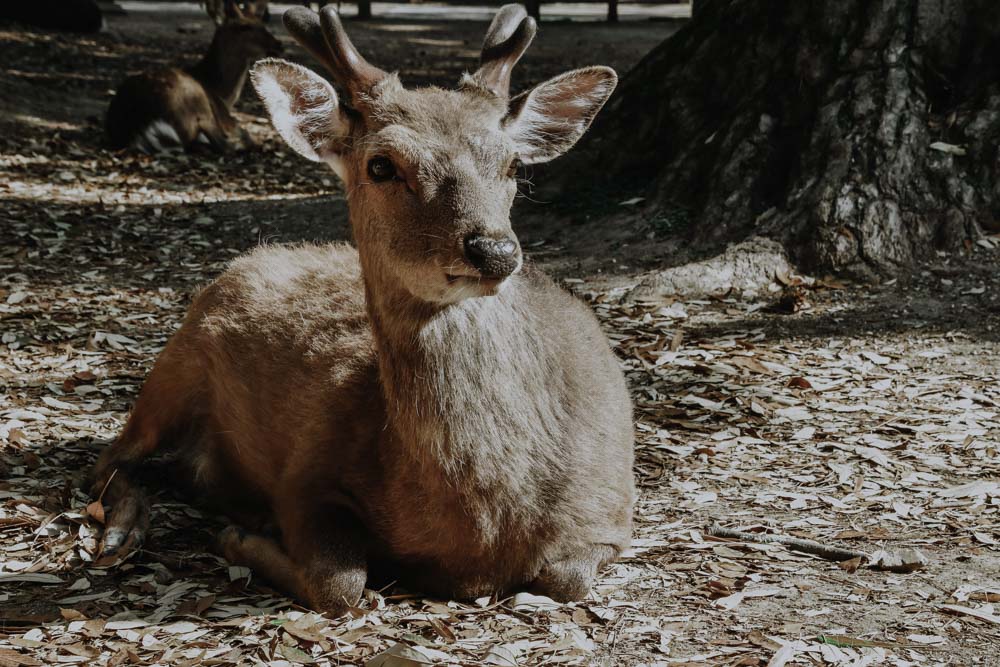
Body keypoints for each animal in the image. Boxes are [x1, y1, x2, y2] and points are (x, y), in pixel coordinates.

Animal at [106, 0, 282, 153]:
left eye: (263, 23)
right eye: (244, 26)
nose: (278, 44)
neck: (222, 93)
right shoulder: (225, 118)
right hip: (196, 103)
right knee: (224, 144)